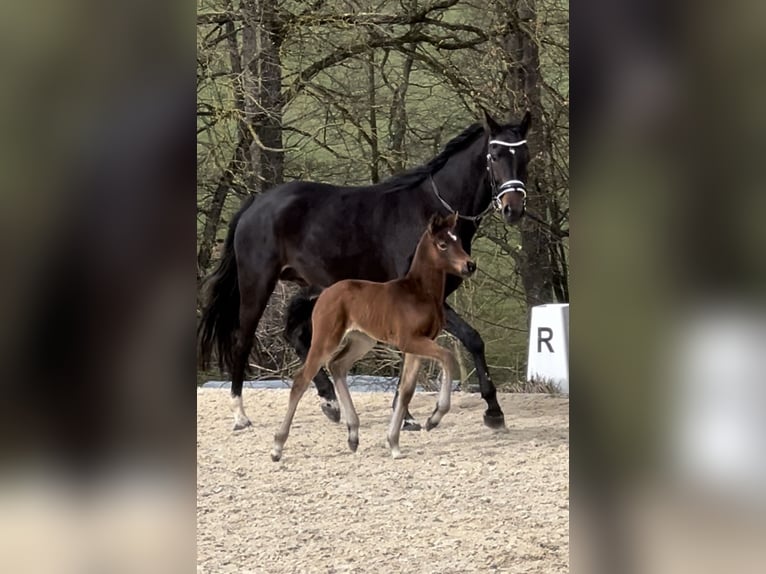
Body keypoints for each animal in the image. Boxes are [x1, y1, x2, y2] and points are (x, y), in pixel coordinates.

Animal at [270, 213, 474, 464]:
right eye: (443, 244)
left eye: (459, 241)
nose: (470, 265)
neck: (419, 293)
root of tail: (323, 292)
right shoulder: (411, 341)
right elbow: (447, 357)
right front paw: (434, 418)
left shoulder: (415, 347)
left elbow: (406, 391)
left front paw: (394, 443)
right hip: (326, 338)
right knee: (302, 379)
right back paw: (277, 447)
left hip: (362, 341)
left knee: (337, 366)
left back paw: (353, 435)